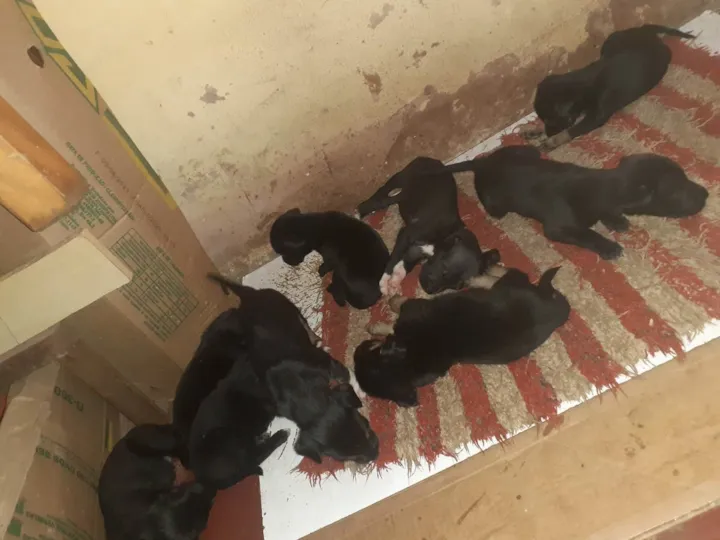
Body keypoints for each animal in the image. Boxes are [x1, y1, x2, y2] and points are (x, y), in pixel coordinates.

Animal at [354, 265, 570, 407]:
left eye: (369, 350)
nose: (356, 349)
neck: (406, 361)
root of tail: (556, 311)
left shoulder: (415, 308)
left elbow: (399, 308)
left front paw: (389, 307)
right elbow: (393, 326)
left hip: (509, 288)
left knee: (512, 274)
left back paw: (483, 275)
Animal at [357, 157, 500, 296]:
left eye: (457, 287)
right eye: (444, 268)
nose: (429, 290)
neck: (445, 237)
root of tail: (434, 160)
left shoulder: (415, 249)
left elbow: (404, 265)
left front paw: (395, 280)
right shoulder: (406, 235)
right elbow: (393, 259)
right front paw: (384, 281)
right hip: (402, 181)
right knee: (383, 196)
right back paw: (360, 211)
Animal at [439, 146, 707, 260]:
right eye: (678, 190)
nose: (706, 194)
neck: (603, 187)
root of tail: (481, 162)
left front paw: (615, 220)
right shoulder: (557, 228)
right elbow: (587, 234)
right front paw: (608, 247)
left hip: (530, 152)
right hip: (496, 207)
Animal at [524, 24, 694, 150]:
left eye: (550, 119)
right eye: (544, 119)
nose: (548, 133)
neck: (580, 85)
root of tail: (645, 30)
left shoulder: (597, 116)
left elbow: (571, 130)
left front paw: (551, 141)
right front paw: (535, 131)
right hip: (611, 40)